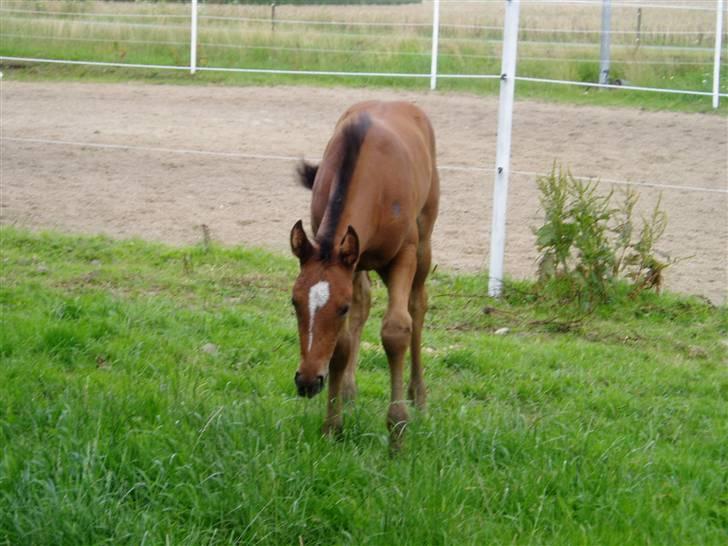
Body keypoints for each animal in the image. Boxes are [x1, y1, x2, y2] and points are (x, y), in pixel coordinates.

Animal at [288, 101, 438, 442]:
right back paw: (348, 390)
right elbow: (342, 344)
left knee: (417, 305)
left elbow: (396, 330)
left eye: (340, 308)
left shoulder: (404, 254)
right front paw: (332, 425)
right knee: (366, 305)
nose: (307, 381)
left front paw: (397, 428)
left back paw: (419, 396)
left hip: (424, 241)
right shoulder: (351, 259)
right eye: (294, 302)